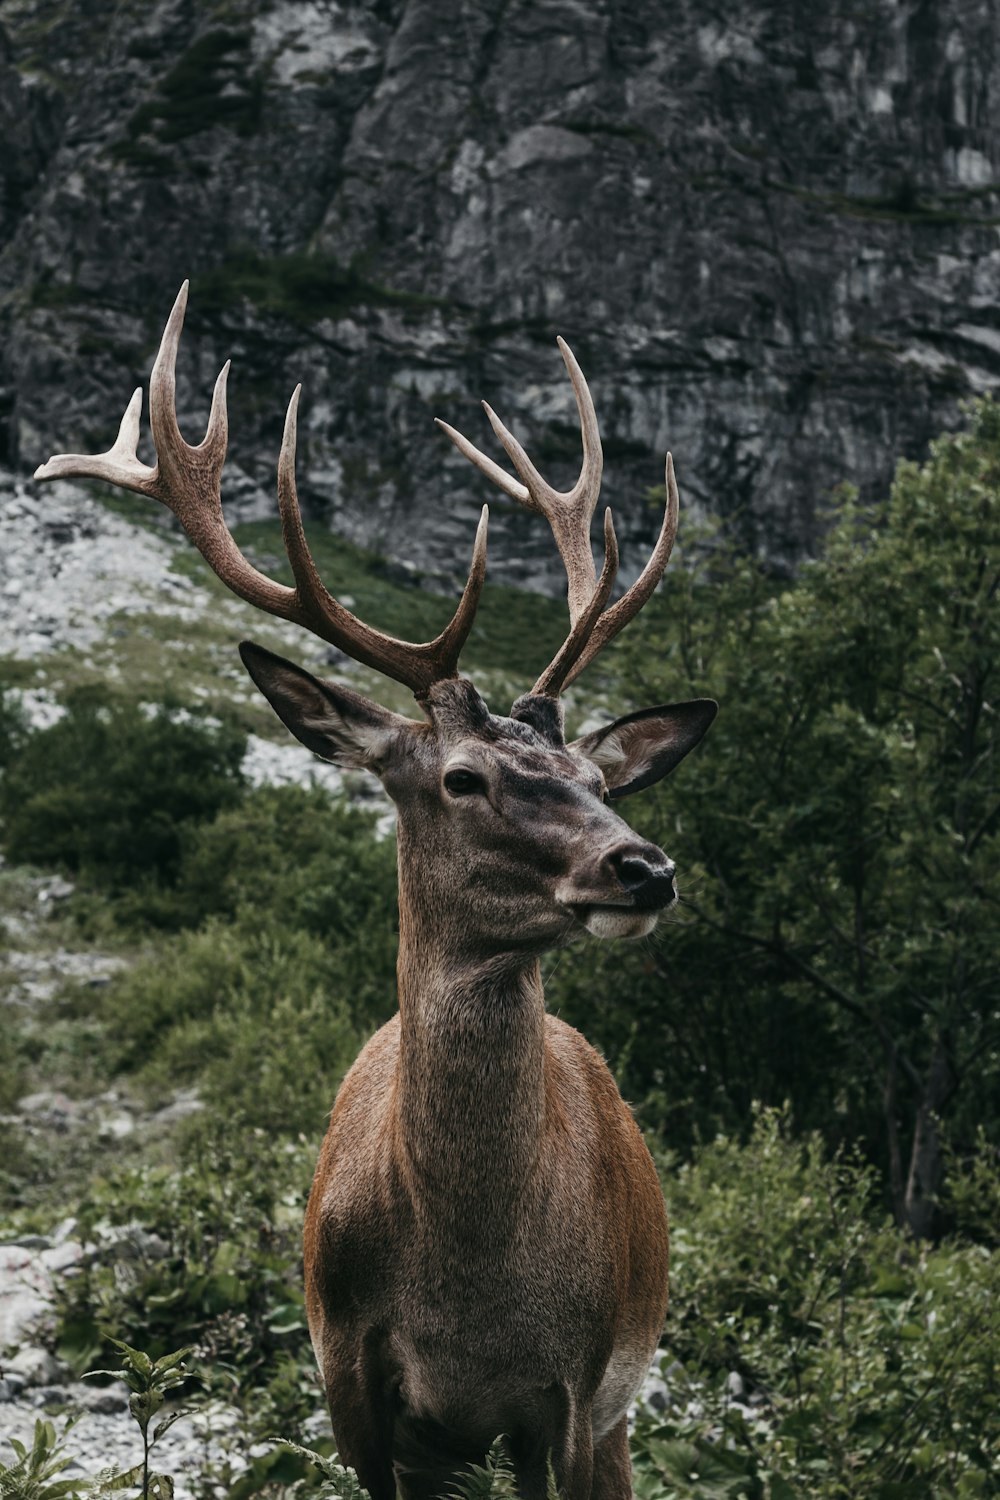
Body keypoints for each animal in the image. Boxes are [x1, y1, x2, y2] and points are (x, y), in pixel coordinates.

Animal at [35, 283, 716, 1500]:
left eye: (597, 781)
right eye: (462, 777)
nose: (644, 867)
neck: (468, 1295)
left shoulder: (572, 1390)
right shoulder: (347, 1373)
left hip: (618, 1410)